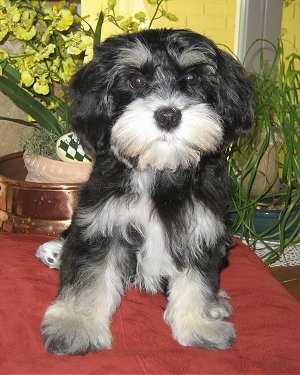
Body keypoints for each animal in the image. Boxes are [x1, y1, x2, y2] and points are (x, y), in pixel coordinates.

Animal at [36, 28, 254, 356]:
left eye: (192, 78)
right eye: (136, 81)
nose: (168, 115)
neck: (160, 170)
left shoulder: (199, 229)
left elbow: (197, 280)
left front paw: (198, 324)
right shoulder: (102, 223)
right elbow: (90, 277)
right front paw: (76, 326)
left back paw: (215, 304)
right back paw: (55, 252)